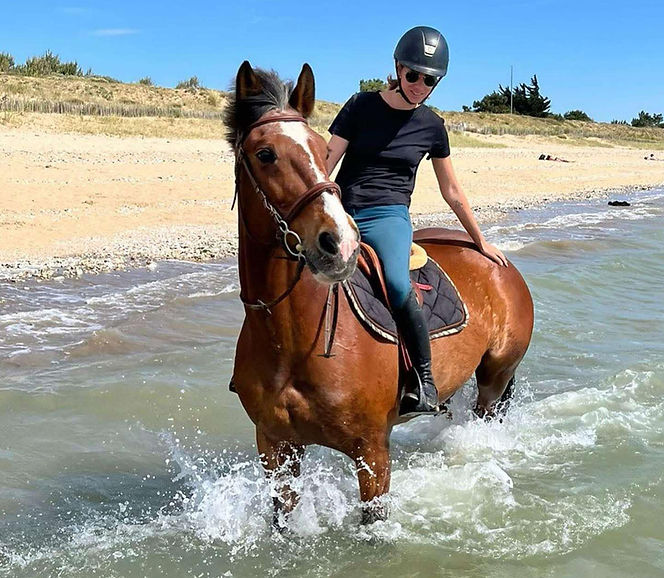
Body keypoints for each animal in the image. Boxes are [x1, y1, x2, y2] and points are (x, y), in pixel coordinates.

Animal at [226, 61, 534, 525]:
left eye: (320, 148)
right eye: (265, 154)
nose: (339, 243)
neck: (291, 338)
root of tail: (497, 260)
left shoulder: (372, 452)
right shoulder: (276, 448)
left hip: (494, 381)